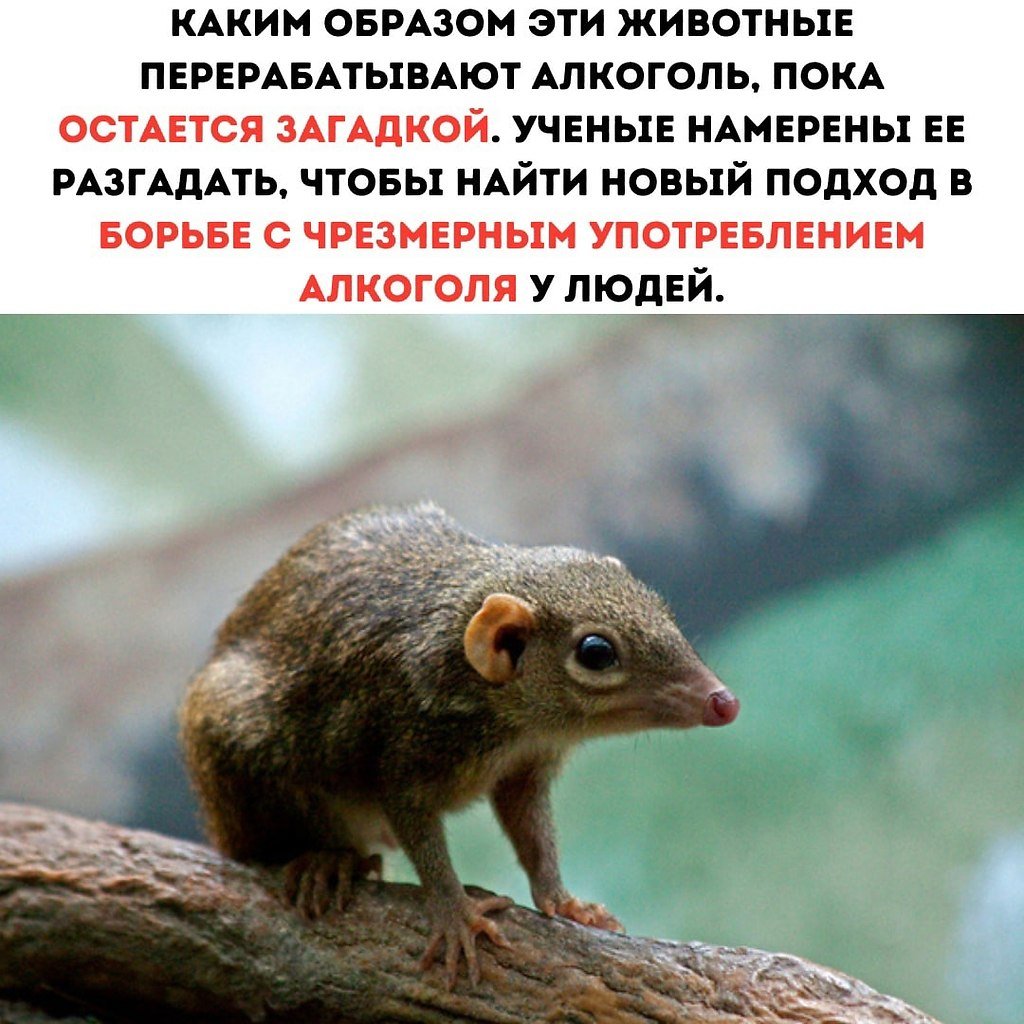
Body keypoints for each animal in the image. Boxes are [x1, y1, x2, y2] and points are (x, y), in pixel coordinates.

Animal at [180, 502, 739, 988]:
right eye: (596, 652)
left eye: (662, 610)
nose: (724, 702)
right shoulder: (407, 749)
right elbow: (421, 837)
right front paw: (455, 915)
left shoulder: (527, 766)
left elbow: (532, 833)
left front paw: (564, 902)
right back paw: (327, 860)